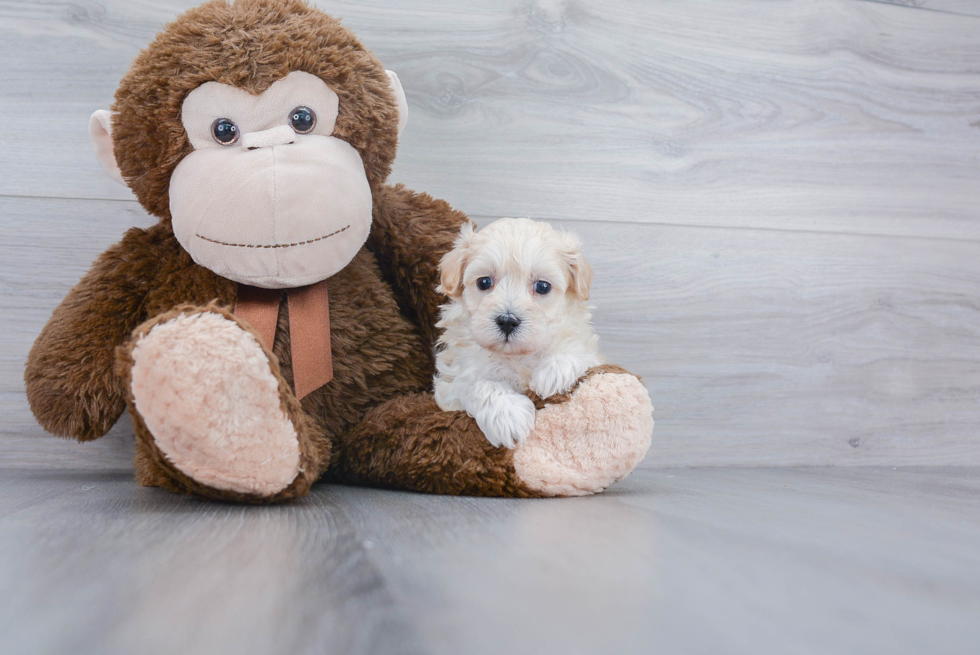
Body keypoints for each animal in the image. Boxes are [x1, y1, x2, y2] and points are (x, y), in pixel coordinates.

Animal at [432, 218, 600, 448]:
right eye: (484, 282)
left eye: (542, 286)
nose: (507, 321)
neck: (516, 357)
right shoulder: (451, 387)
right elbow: (476, 385)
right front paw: (507, 415)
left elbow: (578, 349)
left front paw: (555, 371)